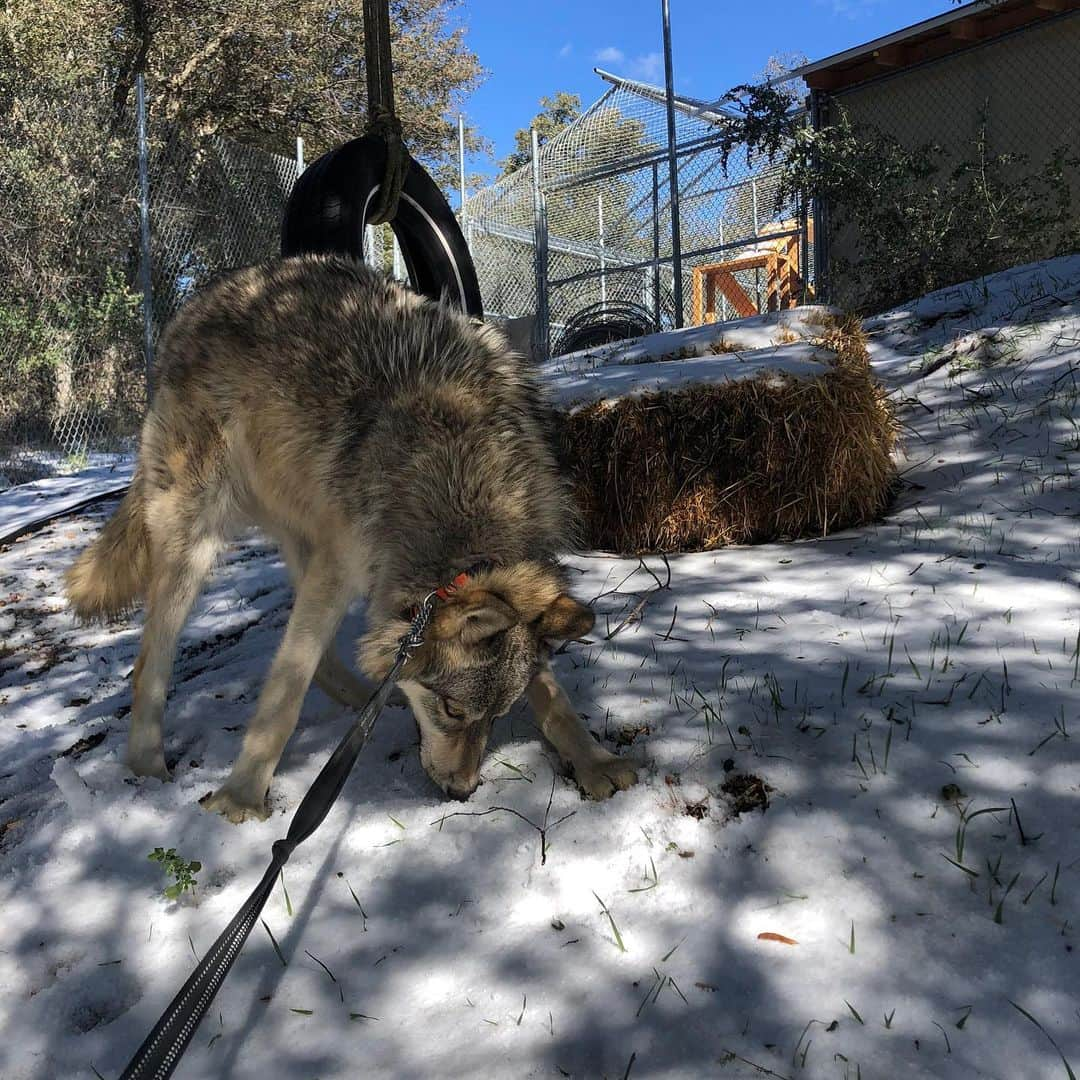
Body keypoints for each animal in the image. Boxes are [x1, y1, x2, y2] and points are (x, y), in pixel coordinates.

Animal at [67, 257, 635, 820]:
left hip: (304, 532)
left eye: (497, 716)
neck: (456, 463)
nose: (461, 791)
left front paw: (597, 762)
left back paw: (368, 696)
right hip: (198, 539)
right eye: (451, 710)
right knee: (151, 664)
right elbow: (283, 693)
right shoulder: (342, 566)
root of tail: (196, 306)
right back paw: (147, 767)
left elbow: (554, 698)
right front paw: (240, 798)